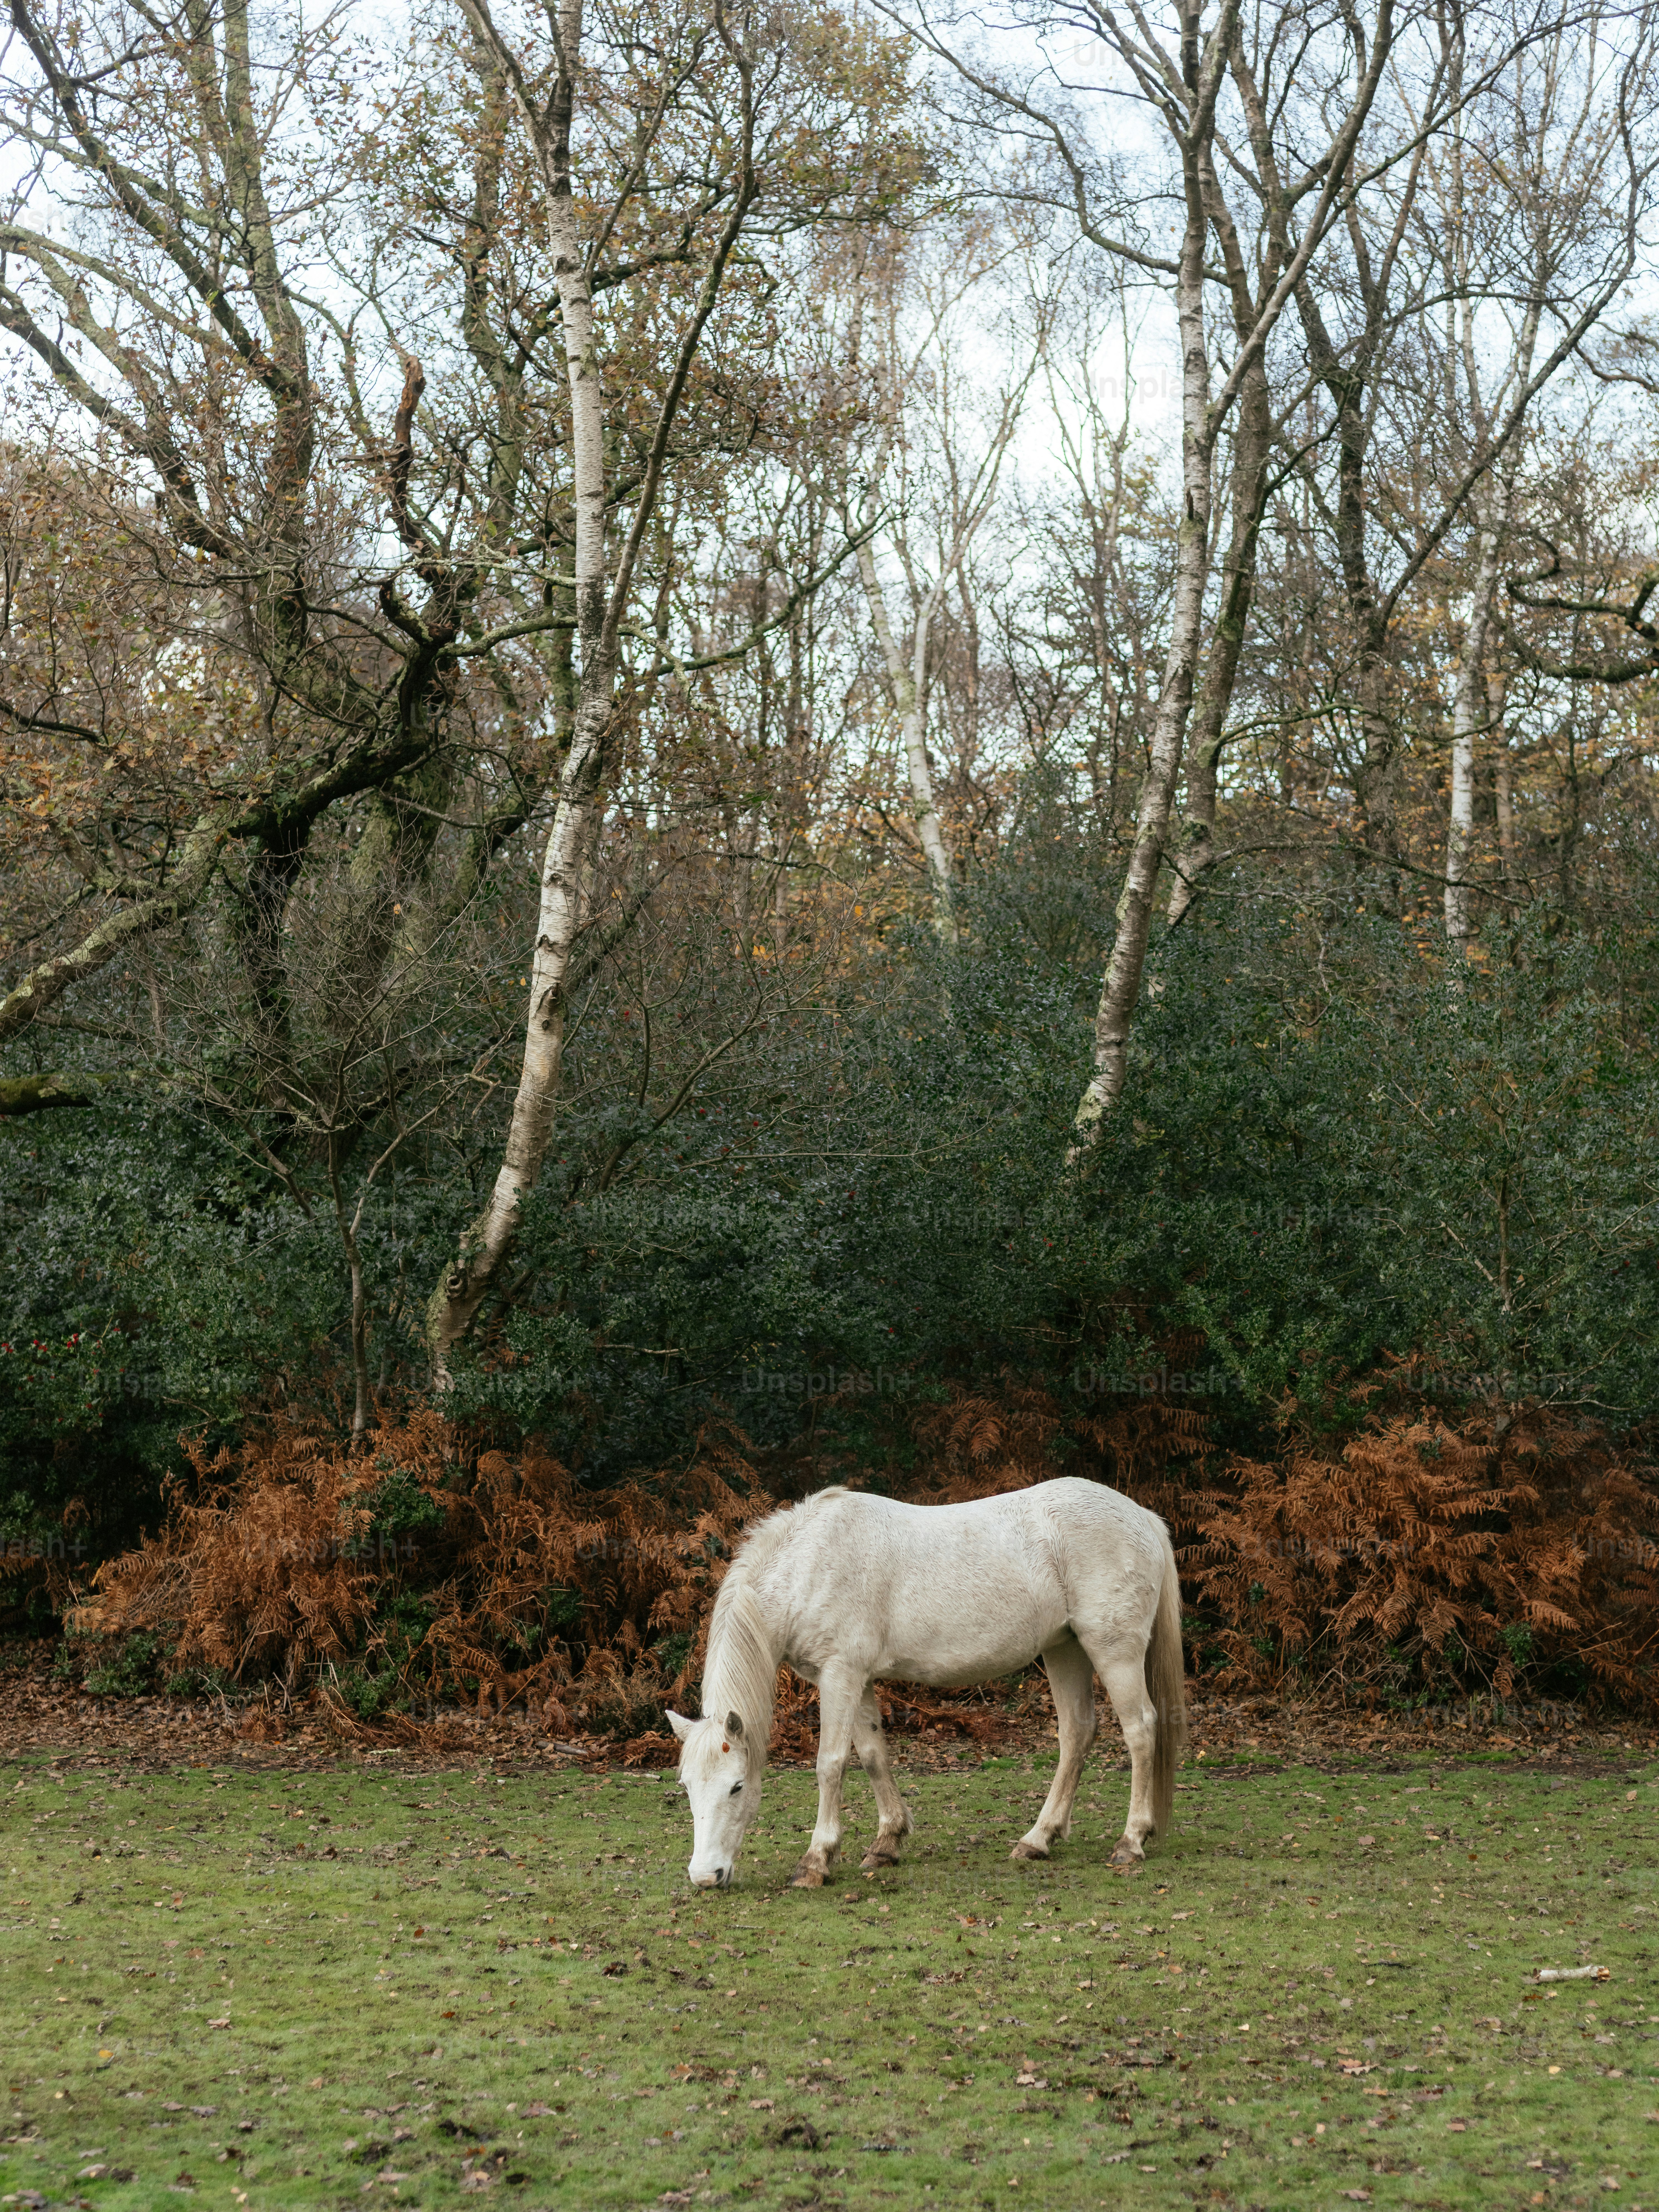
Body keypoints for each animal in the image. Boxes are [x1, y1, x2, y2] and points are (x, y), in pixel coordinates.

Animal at [666, 1478, 1187, 1890]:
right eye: (687, 1786)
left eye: (736, 1787)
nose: (705, 1877)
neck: (810, 1563)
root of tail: (1141, 1516)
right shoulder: (857, 1680)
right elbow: (873, 1756)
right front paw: (886, 1843)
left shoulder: (840, 1675)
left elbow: (830, 1765)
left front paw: (816, 1862)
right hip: (1065, 1649)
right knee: (1077, 1733)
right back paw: (1038, 1839)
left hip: (1113, 1650)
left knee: (1140, 1730)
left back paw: (1130, 1841)